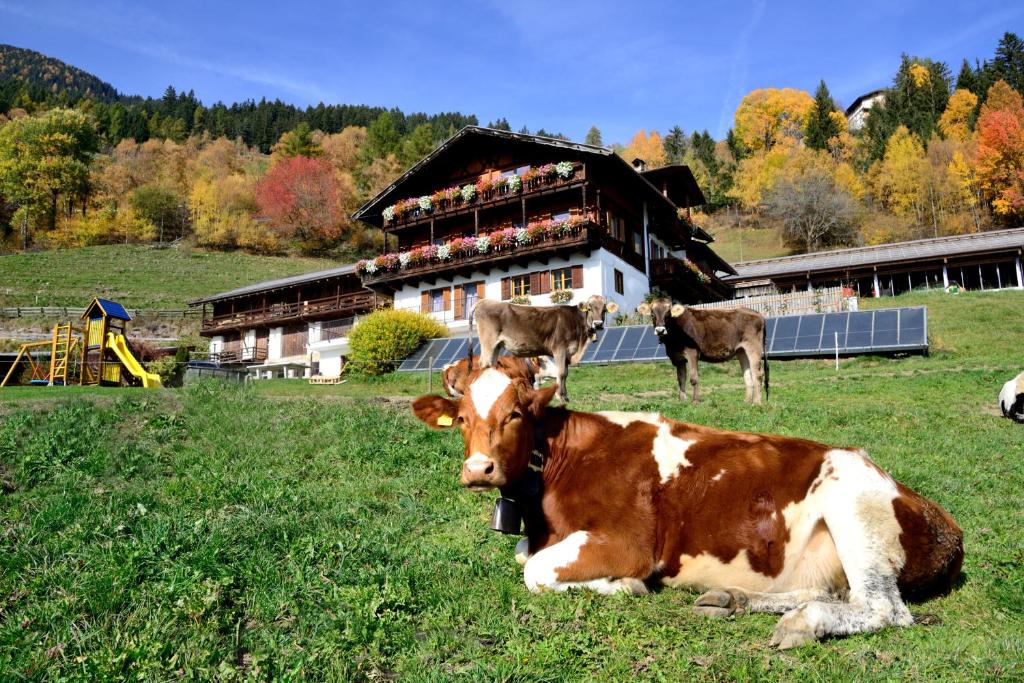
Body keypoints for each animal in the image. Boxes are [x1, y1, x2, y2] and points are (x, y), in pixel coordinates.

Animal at [411, 366, 962, 651]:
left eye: (516, 414)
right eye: (463, 418)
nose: (479, 469)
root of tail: (945, 522)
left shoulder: (629, 541)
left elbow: (536, 571)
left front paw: (624, 585)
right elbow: (525, 556)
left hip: (853, 509)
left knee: (884, 609)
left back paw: (803, 624)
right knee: (829, 592)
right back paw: (733, 599)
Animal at [468, 296, 614, 403]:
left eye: (604, 310)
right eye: (589, 308)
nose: (598, 324)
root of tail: (484, 301)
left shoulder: (567, 352)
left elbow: (566, 373)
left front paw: (566, 396)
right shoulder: (559, 348)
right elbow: (561, 373)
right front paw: (560, 396)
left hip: (496, 345)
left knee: (491, 365)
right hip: (488, 342)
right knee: (483, 364)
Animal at [634, 299, 765, 405]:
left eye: (668, 314)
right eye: (652, 314)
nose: (660, 330)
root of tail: (757, 314)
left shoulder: (692, 353)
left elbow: (693, 378)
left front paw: (695, 401)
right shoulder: (677, 358)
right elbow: (681, 379)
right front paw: (682, 400)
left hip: (753, 347)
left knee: (758, 374)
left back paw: (757, 403)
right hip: (741, 351)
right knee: (747, 375)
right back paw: (747, 401)